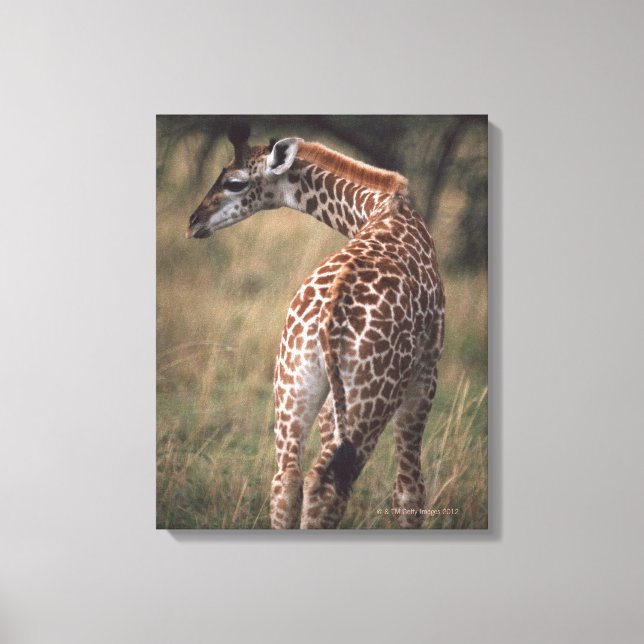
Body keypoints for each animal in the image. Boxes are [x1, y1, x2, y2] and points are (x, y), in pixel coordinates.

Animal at [186, 123, 445, 529]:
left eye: (234, 182)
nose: (194, 222)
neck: (381, 206)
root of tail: (327, 316)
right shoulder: (427, 370)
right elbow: (409, 490)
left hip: (293, 380)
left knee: (287, 479)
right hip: (372, 395)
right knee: (327, 484)